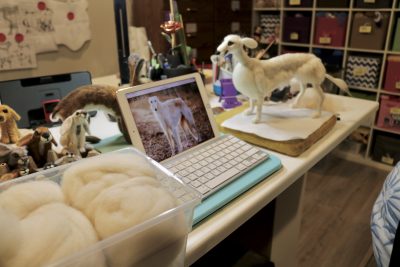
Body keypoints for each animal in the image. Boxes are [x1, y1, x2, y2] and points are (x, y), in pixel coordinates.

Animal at [217, 34, 348, 123]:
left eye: (230, 43)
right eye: (224, 40)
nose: (218, 51)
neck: (247, 64)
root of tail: (318, 61)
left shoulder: (259, 93)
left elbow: (259, 107)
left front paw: (257, 120)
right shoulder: (252, 93)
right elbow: (252, 104)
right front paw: (249, 112)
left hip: (314, 81)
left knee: (322, 96)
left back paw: (317, 115)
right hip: (301, 78)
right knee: (303, 89)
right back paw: (295, 105)